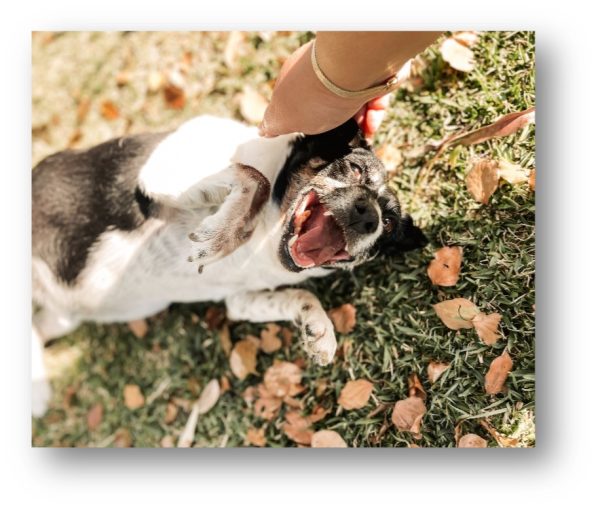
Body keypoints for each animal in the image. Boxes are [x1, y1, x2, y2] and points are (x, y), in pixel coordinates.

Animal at [31, 115, 426, 416]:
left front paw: (319, 331)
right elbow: (255, 177)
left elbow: (300, 297)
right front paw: (224, 235)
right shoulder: (162, 168)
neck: (269, 235)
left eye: (389, 223)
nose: (369, 217)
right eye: (355, 170)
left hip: (63, 319)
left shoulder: (243, 300)